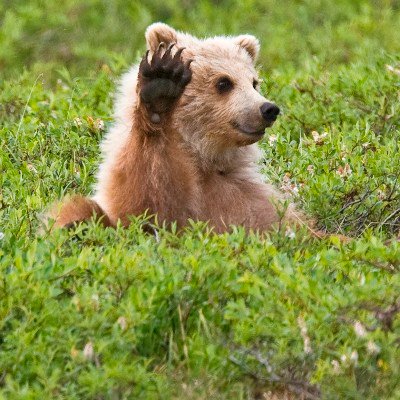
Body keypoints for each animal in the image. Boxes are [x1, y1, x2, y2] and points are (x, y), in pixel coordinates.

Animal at [50, 22, 312, 234]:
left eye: (254, 82)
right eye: (224, 82)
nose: (268, 109)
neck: (205, 159)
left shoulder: (248, 196)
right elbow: (142, 205)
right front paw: (161, 86)